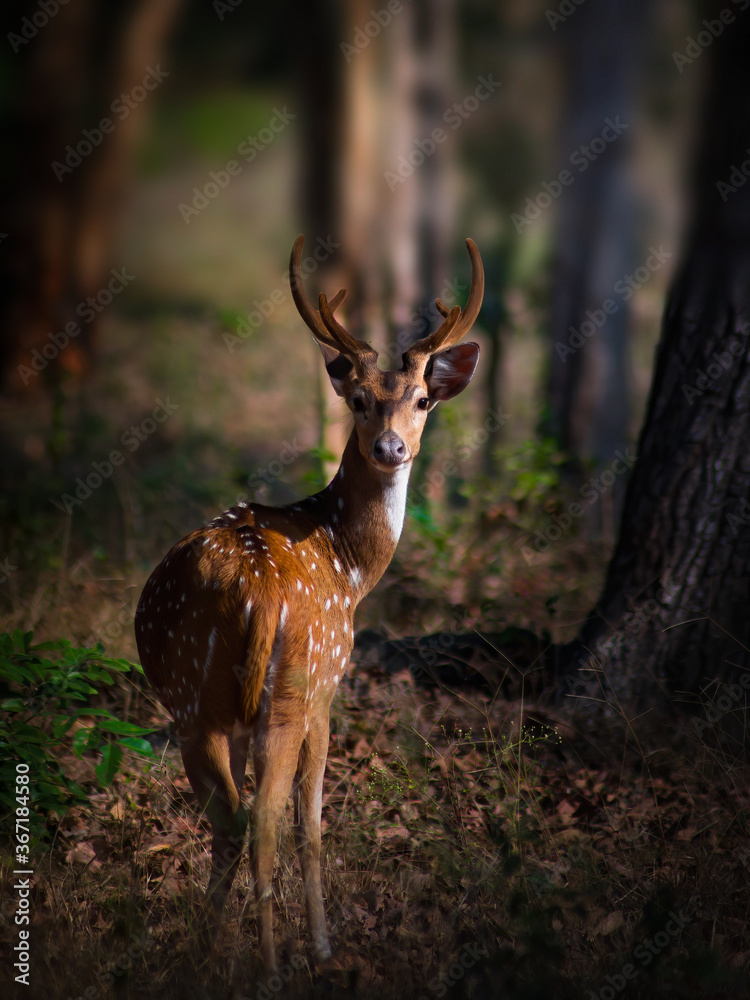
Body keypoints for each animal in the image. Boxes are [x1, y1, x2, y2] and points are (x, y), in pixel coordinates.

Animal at [134, 234, 484, 970]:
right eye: (358, 399)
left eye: (421, 400)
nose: (390, 447)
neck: (351, 568)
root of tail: (261, 590)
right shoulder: (332, 685)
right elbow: (312, 822)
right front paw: (321, 942)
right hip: (294, 683)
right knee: (265, 819)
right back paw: (272, 962)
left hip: (192, 699)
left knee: (229, 819)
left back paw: (207, 948)